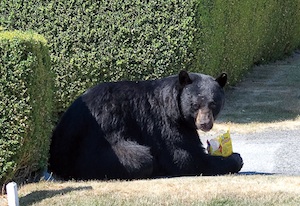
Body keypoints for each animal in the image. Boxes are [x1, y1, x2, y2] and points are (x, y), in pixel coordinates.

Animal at [48, 70, 241, 179]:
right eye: (195, 105)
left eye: (213, 104)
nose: (205, 123)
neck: (173, 106)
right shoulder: (164, 124)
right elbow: (185, 156)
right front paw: (235, 158)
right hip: (97, 140)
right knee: (141, 159)